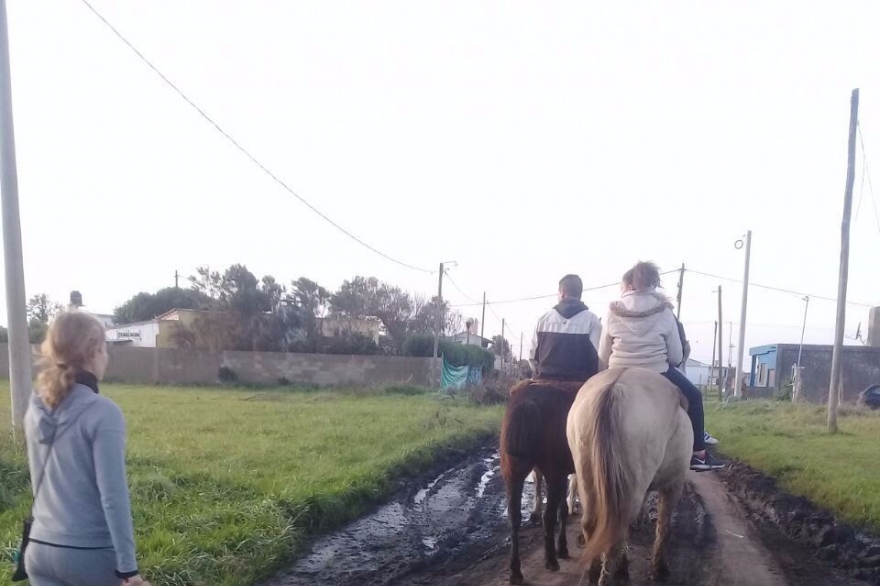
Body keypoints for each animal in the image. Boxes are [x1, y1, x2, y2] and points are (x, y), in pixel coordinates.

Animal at [502, 376, 584, 580]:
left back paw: (515, 570)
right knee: (548, 517)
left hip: (512, 471)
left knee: (514, 517)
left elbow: (563, 509)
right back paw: (551, 560)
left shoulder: (563, 472)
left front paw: (563, 548)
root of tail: (527, 400)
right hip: (552, 473)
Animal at [568, 368, 692, 580]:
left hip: (587, 476)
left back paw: (595, 572)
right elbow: (664, 527)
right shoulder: (674, 483)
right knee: (616, 533)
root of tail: (613, 390)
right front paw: (659, 567)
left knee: (592, 524)